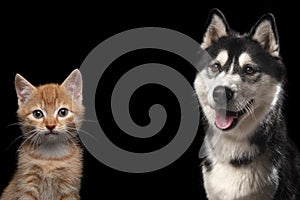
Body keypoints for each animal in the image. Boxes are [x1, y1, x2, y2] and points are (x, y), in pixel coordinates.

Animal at [0, 69, 84, 200]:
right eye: (37, 114)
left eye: (63, 112)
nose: (50, 125)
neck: (50, 157)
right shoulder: (27, 185)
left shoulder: (69, 188)